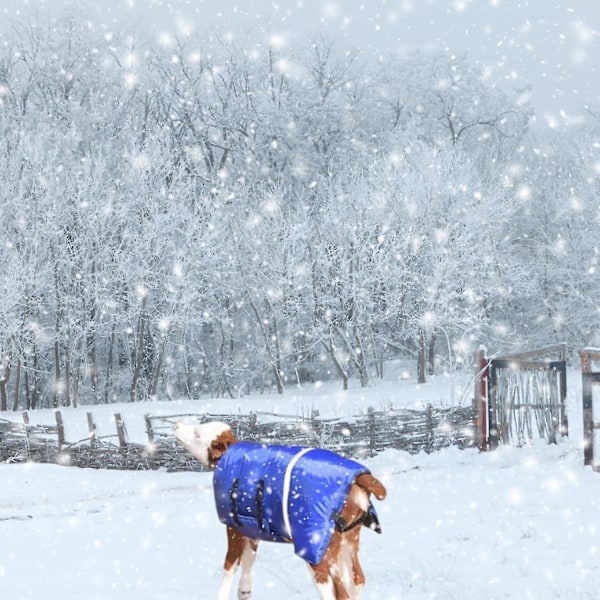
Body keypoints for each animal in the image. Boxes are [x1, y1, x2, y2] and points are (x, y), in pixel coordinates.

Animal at [176, 422, 386, 600]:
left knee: (337, 592)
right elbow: (249, 558)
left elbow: (230, 565)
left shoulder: (233, 526)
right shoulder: (251, 527)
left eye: (198, 433)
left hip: (319, 549)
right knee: (357, 579)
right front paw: (244, 591)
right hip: (348, 539)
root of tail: (360, 477)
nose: (178, 425)